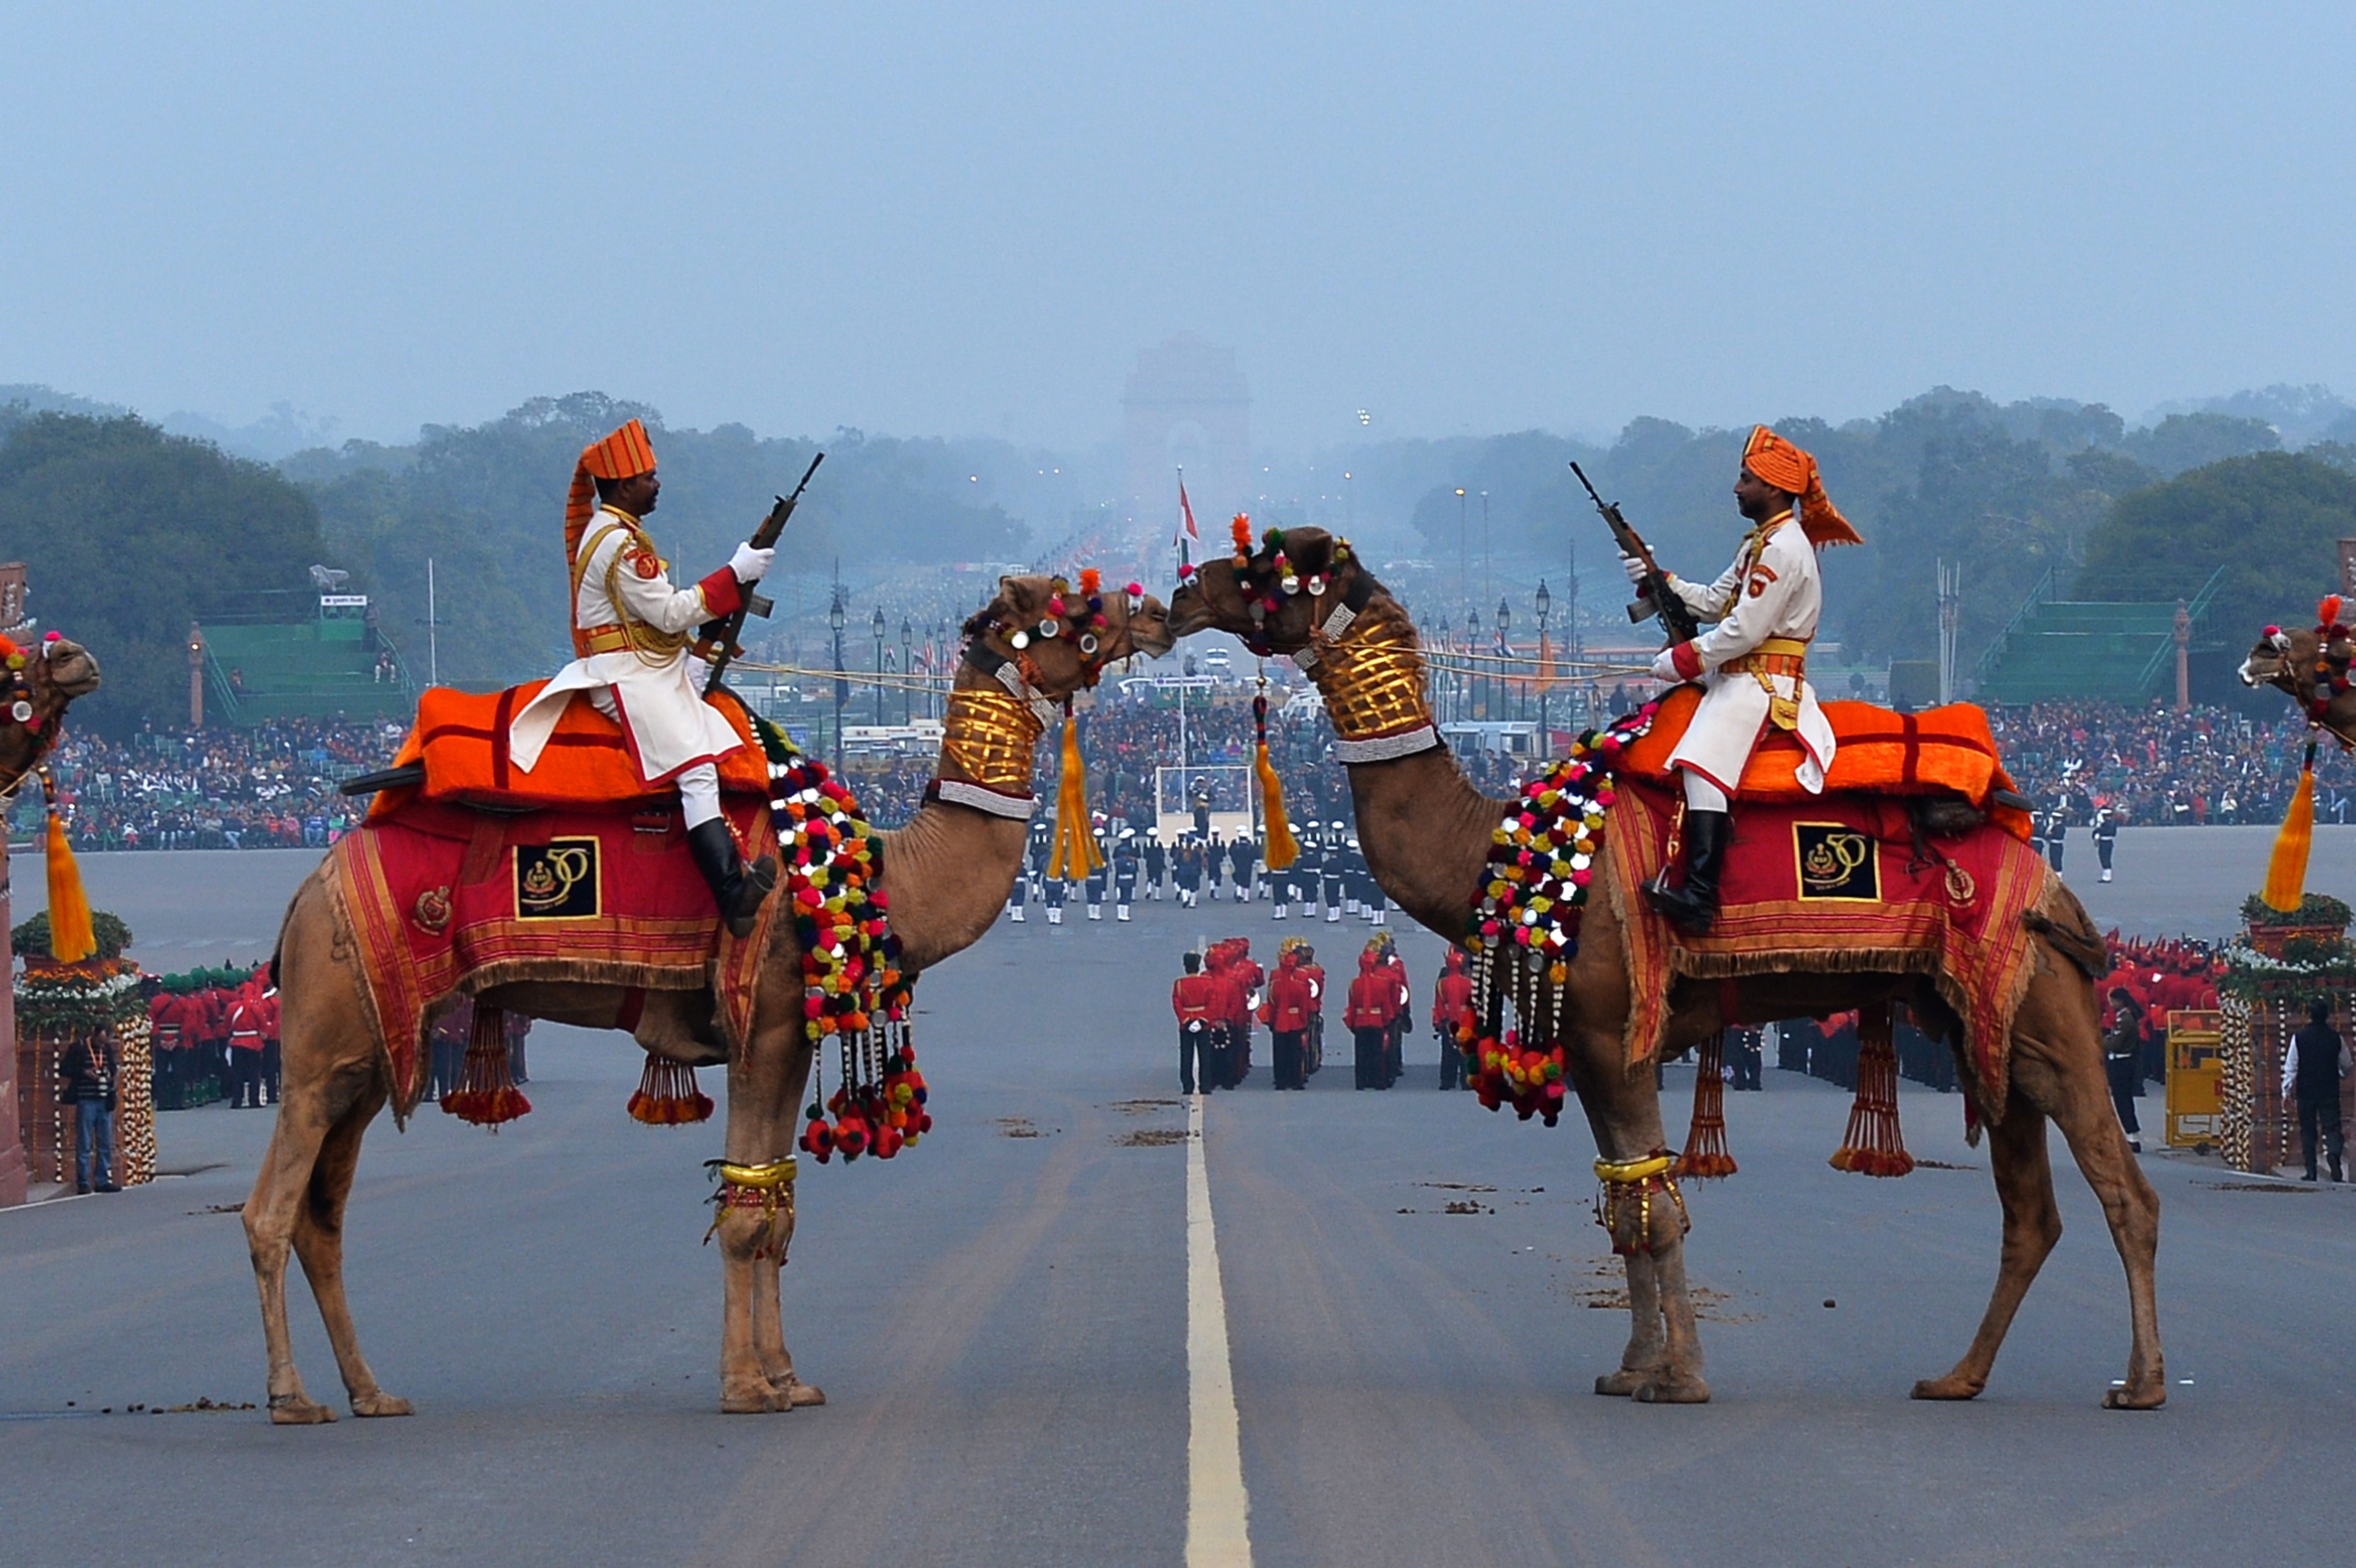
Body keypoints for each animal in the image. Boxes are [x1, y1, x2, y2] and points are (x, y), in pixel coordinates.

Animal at [1168, 525, 2158, 1403]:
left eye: (1270, 564)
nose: (1183, 590)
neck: (1501, 852)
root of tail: (2048, 883)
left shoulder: (1618, 1034)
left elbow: (1655, 1195)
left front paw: (1677, 1379)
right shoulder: (1590, 1045)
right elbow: (1625, 1199)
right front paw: (1631, 1368)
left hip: (2041, 1005)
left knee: (2120, 1186)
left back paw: (2139, 1384)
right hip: (1982, 1023)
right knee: (2029, 1208)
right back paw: (1957, 1377)